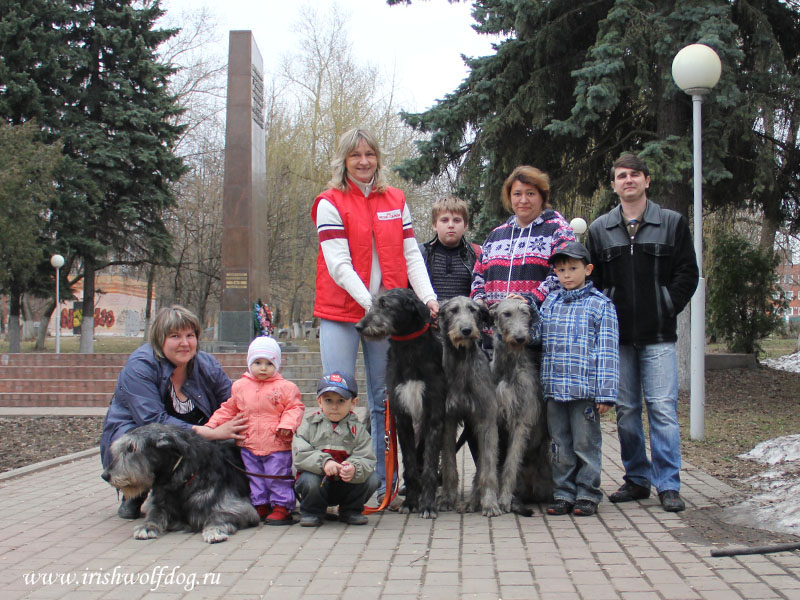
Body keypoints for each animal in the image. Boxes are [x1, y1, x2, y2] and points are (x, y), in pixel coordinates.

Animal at [101, 422, 260, 544]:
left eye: (132, 448)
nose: (105, 476)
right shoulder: (160, 502)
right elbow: (154, 513)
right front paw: (146, 526)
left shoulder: (242, 509)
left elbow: (217, 516)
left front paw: (213, 530)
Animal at [354, 288, 444, 516]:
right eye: (373, 303)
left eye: (386, 305)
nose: (359, 326)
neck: (408, 350)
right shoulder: (402, 417)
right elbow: (410, 464)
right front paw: (410, 502)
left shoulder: (434, 415)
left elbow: (429, 464)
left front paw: (427, 505)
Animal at [438, 296, 500, 516]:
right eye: (453, 310)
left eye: (473, 310)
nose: (466, 330)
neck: (462, 362)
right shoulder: (447, 420)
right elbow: (449, 463)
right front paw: (447, 499)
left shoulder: (486, 420)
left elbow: (488, 466)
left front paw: (490, 503)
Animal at [490, 296, 552, 510]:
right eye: (506, 313)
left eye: (525, 312)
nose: (519, 338)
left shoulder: (521, 420)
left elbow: (511, 461)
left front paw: (504, 498)